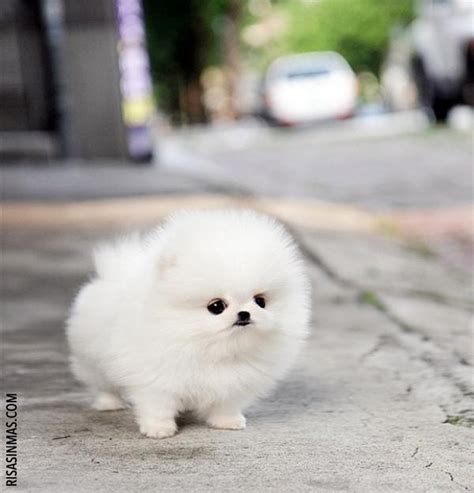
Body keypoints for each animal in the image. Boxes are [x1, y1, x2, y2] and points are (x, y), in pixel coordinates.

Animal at [66, 209, 312, 436]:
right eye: (216, 306)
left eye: (260, 301)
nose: (244, 314)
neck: (211, 348)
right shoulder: (156, 379)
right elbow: (158, 406)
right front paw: (159, 429)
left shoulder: (234, 382)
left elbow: (226, 404)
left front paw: (227, 421)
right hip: (93, 360)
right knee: (104, 384)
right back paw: (110, 404)